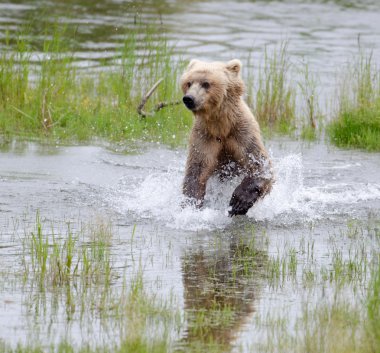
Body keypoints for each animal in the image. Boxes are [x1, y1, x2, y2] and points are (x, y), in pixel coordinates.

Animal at [180, 59, 274, 216]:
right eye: (189, 83)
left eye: (206, 83)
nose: (189, 99)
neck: (221, 125)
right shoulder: (204, 136)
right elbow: (197, 169)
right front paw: (191, 204)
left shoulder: (241, 132)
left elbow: (259, 164)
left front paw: (239, 201)